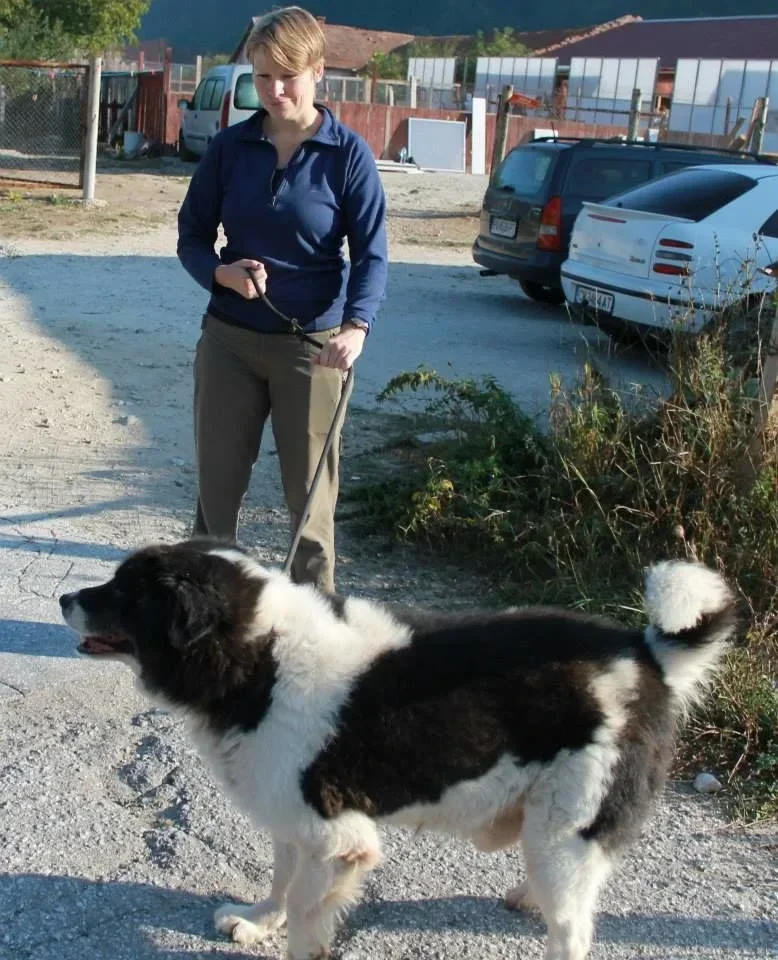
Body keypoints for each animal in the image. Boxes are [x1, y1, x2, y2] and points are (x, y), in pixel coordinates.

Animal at [59, 539, 737, 960]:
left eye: (125, 592)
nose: (64, 599)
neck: (262, 655)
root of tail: (644, 652)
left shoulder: (339, 841)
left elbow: (305, 911)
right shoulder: (293, 820)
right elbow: (281, 882)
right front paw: (259, 921)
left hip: (567, 831)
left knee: (572, 934)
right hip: (553, 829)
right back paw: (526, 895)